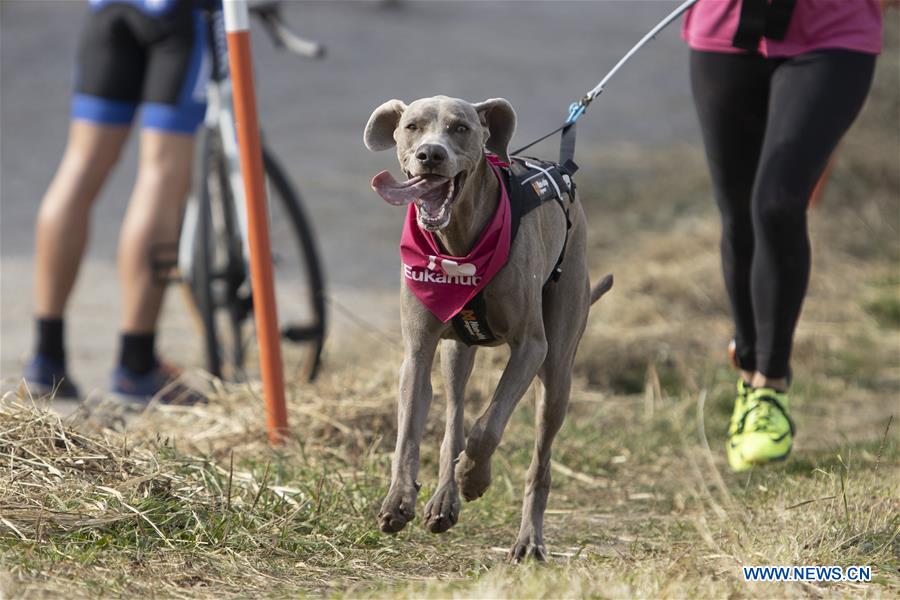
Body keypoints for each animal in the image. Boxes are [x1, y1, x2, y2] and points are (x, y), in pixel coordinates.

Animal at [362, 95, 608, 564]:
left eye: (461, 128)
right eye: (412, 126)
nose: (431, 155)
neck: (459, 247)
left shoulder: (530, 347)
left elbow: (488, 426)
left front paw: (475, 477)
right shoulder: (417, 352)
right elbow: (409, 434)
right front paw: (399, 499)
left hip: (558, 371)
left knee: (539, 461)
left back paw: (528, 539)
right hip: (457, 353)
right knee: (454, 420)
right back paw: (444, 499)